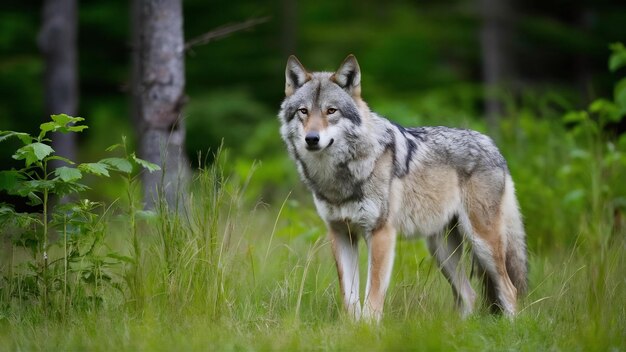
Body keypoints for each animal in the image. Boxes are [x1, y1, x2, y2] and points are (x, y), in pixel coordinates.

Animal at [278, 55, 528, 322]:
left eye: (331, 111)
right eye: (303, 111)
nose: (312, 139)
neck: (339, 178)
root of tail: (492, 144)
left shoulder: (381, 234)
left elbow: (373, 296)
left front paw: (368, 328)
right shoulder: (340, 233)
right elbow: (350, 298)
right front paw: (352, 327)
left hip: (482, 242)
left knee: (509, 290)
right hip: (441, 251)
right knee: (469, 295)